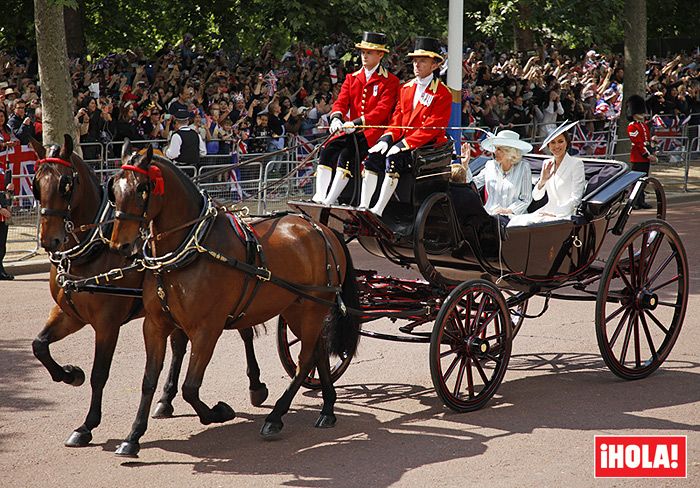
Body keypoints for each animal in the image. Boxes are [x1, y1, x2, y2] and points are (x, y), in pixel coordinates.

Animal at [29, 135, 268, 448]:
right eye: (36, 183)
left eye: (66, 184)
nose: (49, 240)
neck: (93, 250)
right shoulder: (69, 314)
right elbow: (39, 345)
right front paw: (70, 374)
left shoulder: (107, 323)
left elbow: (99, 374)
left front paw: (87, 425)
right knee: (179, 346)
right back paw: (166, 399)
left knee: (244, 333)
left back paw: (256, 385)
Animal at [109, 143, 360, 456]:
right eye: (114, 189)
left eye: (143, 188)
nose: (120, 246)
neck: (191, 249)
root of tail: (322, 229)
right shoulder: (155, 325)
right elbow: (148, 381)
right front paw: (133, 436)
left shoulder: (207, 329)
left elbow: (191, 387)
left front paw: (219, 412)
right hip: (297, 309)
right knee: (319, 352)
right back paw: (327, 409)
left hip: (313, 308)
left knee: (304, 361)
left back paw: (276, 416)